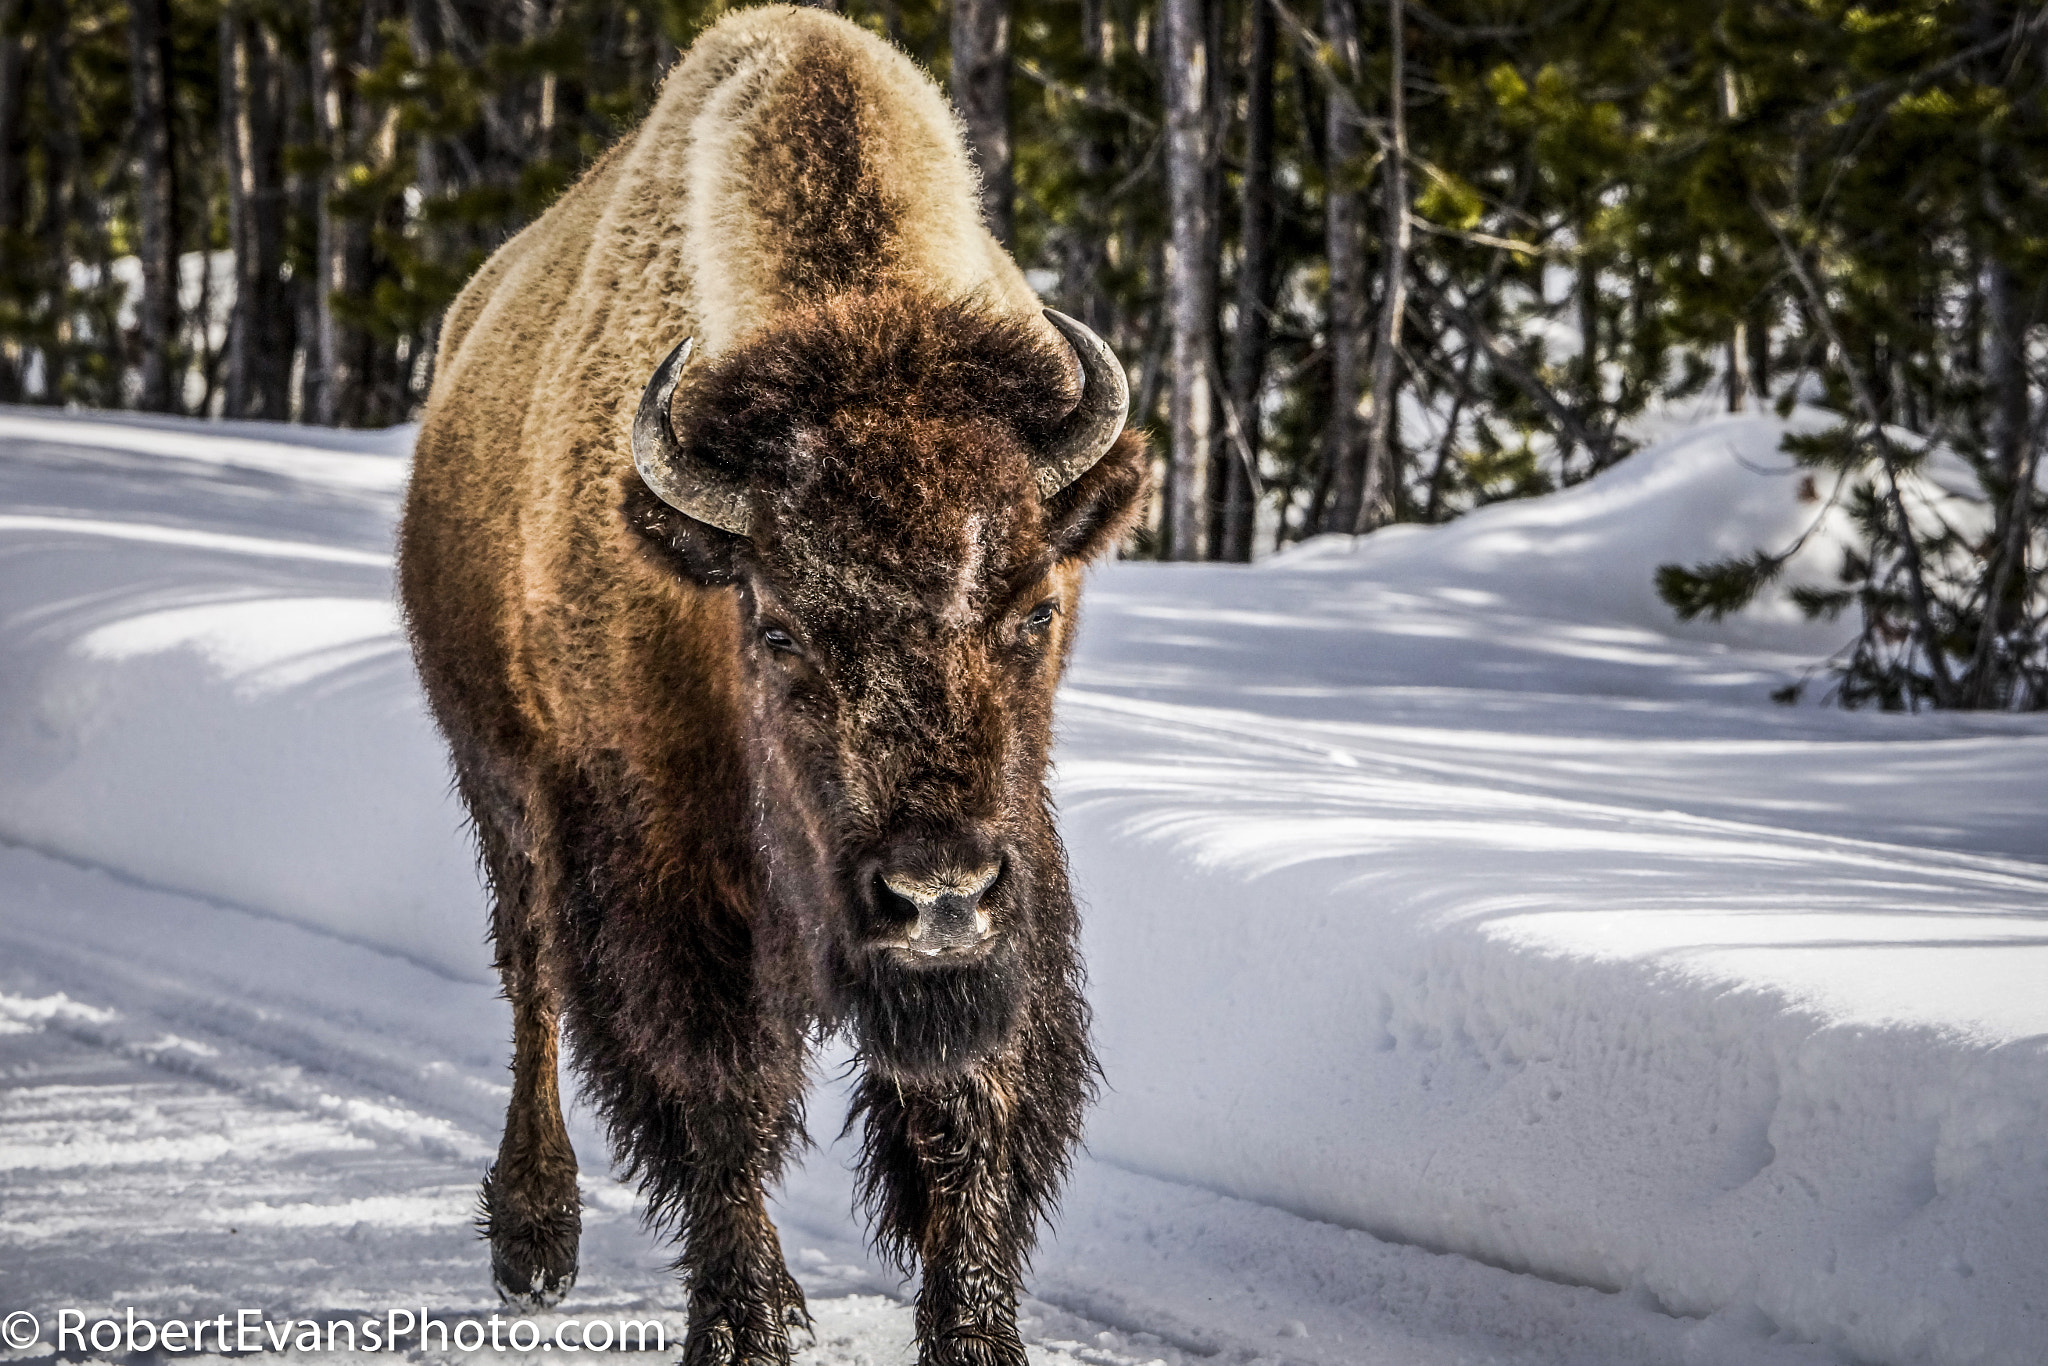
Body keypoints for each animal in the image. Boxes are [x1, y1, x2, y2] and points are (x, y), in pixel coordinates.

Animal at [391, 5, 1146, 1359]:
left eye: (1035, 608)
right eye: (780, 628)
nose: (936, 892)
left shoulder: (1010, 880)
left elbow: (968, 1105)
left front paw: (974, 1333)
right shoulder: (669, 869)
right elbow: (718, 1093)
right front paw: (739, 1324)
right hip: (501, 785)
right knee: (533, 984)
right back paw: (534, 1241)